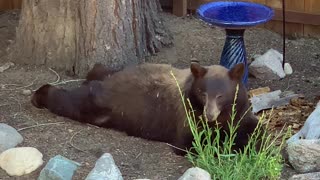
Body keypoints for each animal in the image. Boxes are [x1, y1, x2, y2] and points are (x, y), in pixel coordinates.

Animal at [31, 61, 260, 155]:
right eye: (203, 93)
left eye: (221, 95)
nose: (209, 115)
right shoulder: (188, 115)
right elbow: (191, 141)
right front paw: (229, 146)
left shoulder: (241, 110)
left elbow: (254, 126)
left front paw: (251, 143)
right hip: (98, 103)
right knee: (72, 101)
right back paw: (39, 95)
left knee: (97, 69)